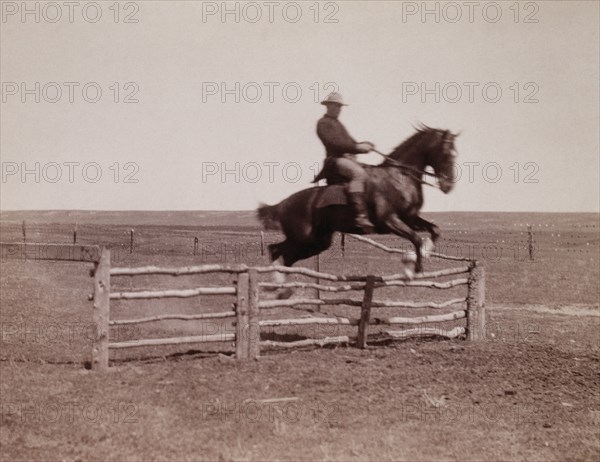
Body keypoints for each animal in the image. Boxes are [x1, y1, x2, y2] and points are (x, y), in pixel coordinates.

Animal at [255, 124, 458, 294]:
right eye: (447, 153)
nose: (448, 186)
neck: (399, 178)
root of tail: (282, 204)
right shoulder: (389, 220)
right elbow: (415, 238)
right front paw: (411, 270)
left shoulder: (410, 217)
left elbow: (434, 231)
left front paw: (420, 254)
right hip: (305, 238)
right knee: (277, 250)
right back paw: (278, 284)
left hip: (318, 242)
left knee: (285, 254)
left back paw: (281, 288)